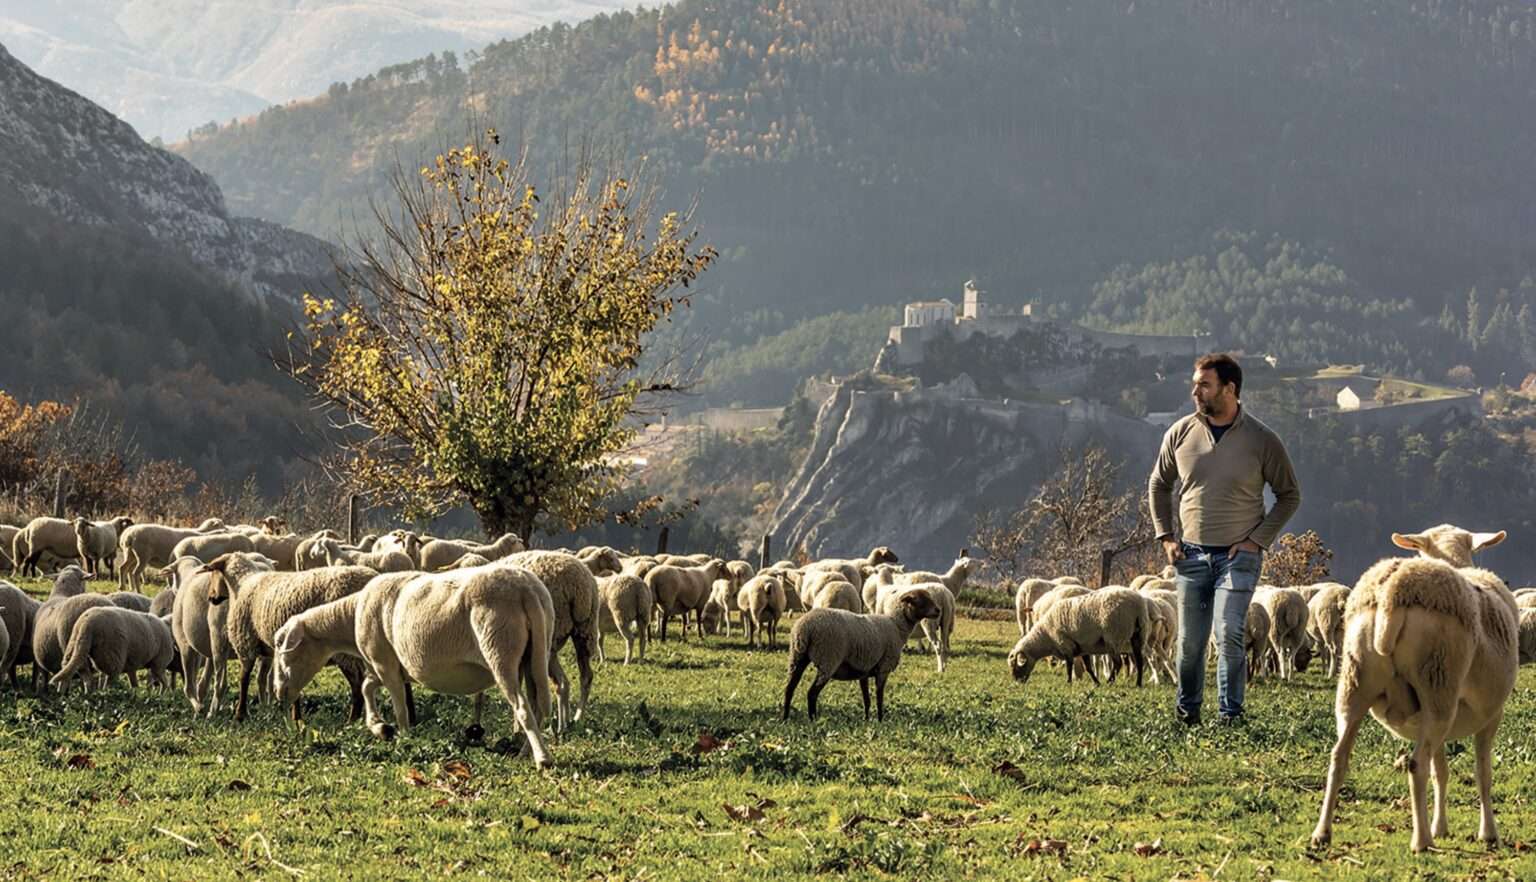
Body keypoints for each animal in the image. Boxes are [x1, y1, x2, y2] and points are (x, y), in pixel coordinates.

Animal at [48, 611, 177, 694]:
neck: (168, 628)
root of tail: (86, 623)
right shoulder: (159, 664)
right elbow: (163, 682)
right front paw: (163, 695)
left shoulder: (132, 663)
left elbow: (134, 681)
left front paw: (136, 692)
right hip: (112, 654)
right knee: (109, 678)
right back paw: (107, 694)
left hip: (78, 647)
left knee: (80, 674)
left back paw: (66, 695)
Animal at [199, 556, 376, 722]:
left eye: (214, 574)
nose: (211, 598)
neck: (241, 585)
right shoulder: (274, 651)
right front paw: (294, 717)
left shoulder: (246, 643)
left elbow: (244, 679)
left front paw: (240, 714)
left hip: (345, 650)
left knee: (357, 683)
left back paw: (352, 720)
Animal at [786, 586, 940, 725]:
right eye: (920, 600)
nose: (938, 610)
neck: (897, 626)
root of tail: (805, 628)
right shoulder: (883, 668)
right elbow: (879, 697)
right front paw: (880, 720)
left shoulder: (864, 670)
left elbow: (867, 699)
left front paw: (866, 719)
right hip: (828, 659)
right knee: (812, 693)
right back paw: (813, 720)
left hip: (798, 656)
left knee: (790, 688)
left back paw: (785, 718)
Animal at [1007, 586, 1155, 691]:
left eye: (1017, 665)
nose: (1017, 682)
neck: (1045, 637)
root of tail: (1137, 606)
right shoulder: (1083, 648)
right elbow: (1088, 667)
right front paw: (1096, 683)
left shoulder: (1066, 645)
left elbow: (1069, 666)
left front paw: (1068, 682)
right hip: (1139, 634)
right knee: (1139, 661)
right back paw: (1138, 683)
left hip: (1113, 637)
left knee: (1118, 663)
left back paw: (1110, 681)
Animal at [1314, 528, 1517, 854]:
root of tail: (1391, 593)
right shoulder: (1491, 715)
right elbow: (1482, 773)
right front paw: (1488, 833)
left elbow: (1441, 772)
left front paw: (1441, 827)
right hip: (1438, 684)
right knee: (1416, 764)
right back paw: (1421, 841)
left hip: (1356, 682)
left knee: (1338, 757)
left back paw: (1322, 833)